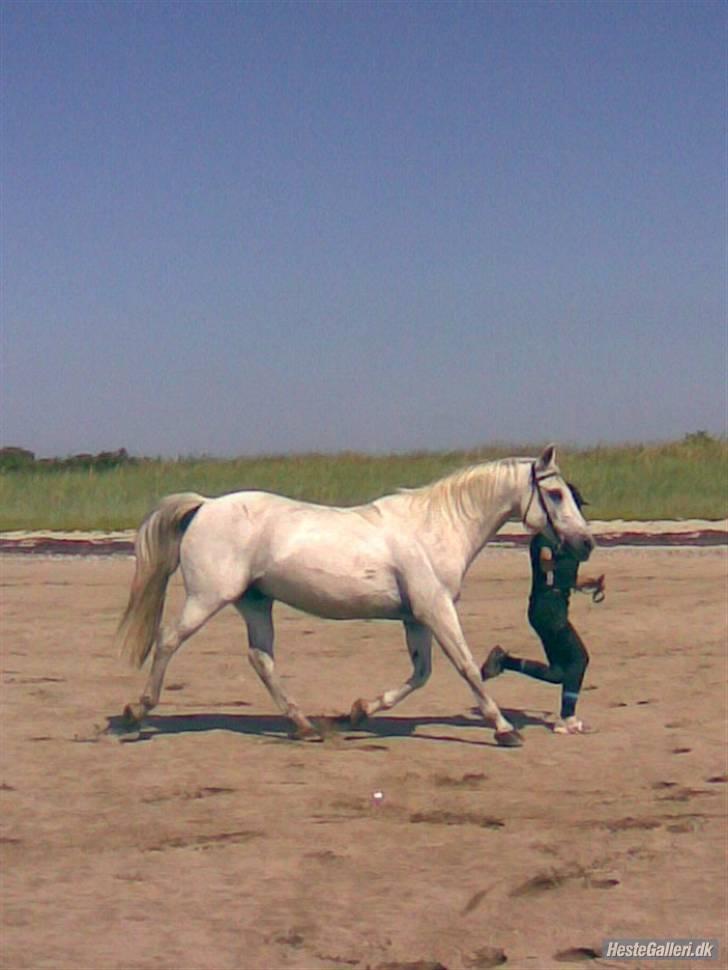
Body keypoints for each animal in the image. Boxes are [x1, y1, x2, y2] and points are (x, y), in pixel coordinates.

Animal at [118, 442, 592, 744]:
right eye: (554, 494)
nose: (586, 543)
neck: (435, 528)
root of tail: (205, 505)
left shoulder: (415, 617)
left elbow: (421, 674)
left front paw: (358, 710)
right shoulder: (436, 609)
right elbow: (466, 667)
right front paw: (504, 730)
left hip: (255, 603)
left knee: (261, 659)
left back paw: (304, 726)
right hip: (207, 598)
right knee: (168, 641)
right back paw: (136, 714)